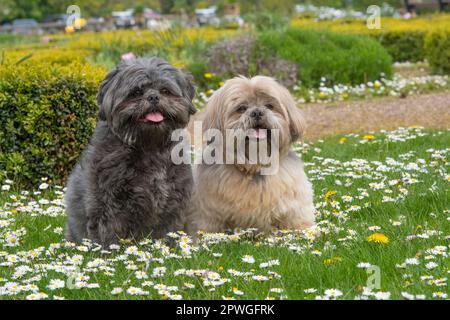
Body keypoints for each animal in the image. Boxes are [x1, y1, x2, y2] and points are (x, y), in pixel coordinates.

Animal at [65, 57, 197, 246]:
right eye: (136, 92)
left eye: (165, 91)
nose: (153, 97)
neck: (149, 146)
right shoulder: (107, 202)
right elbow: (109, 230)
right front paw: (111, 250)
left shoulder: (173, 202)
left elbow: (168, 230)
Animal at [188, 76, 314, 234]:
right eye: (241, 108)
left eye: (269, 106)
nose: (257, 112)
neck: (254, 166)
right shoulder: (208, 213)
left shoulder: (293, 206)